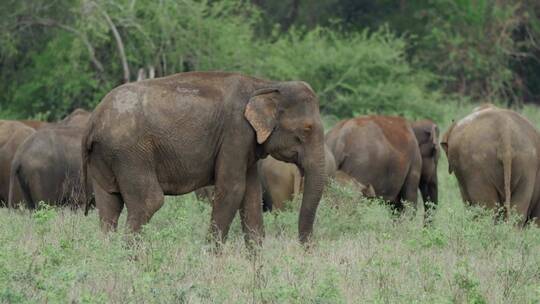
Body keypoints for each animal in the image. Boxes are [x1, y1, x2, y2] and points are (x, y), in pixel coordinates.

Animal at [80, 71, 324, 245]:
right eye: (307, 129)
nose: (305, 248)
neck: (265, 85)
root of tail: (93, 120)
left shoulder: (246, 144)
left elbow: (251, 195)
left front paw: (255, 262)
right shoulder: (236, 133)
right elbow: (232, 189)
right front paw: (211, 256)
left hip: (107, 156)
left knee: (109, 205)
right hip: (130, 153)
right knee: (149, 201)